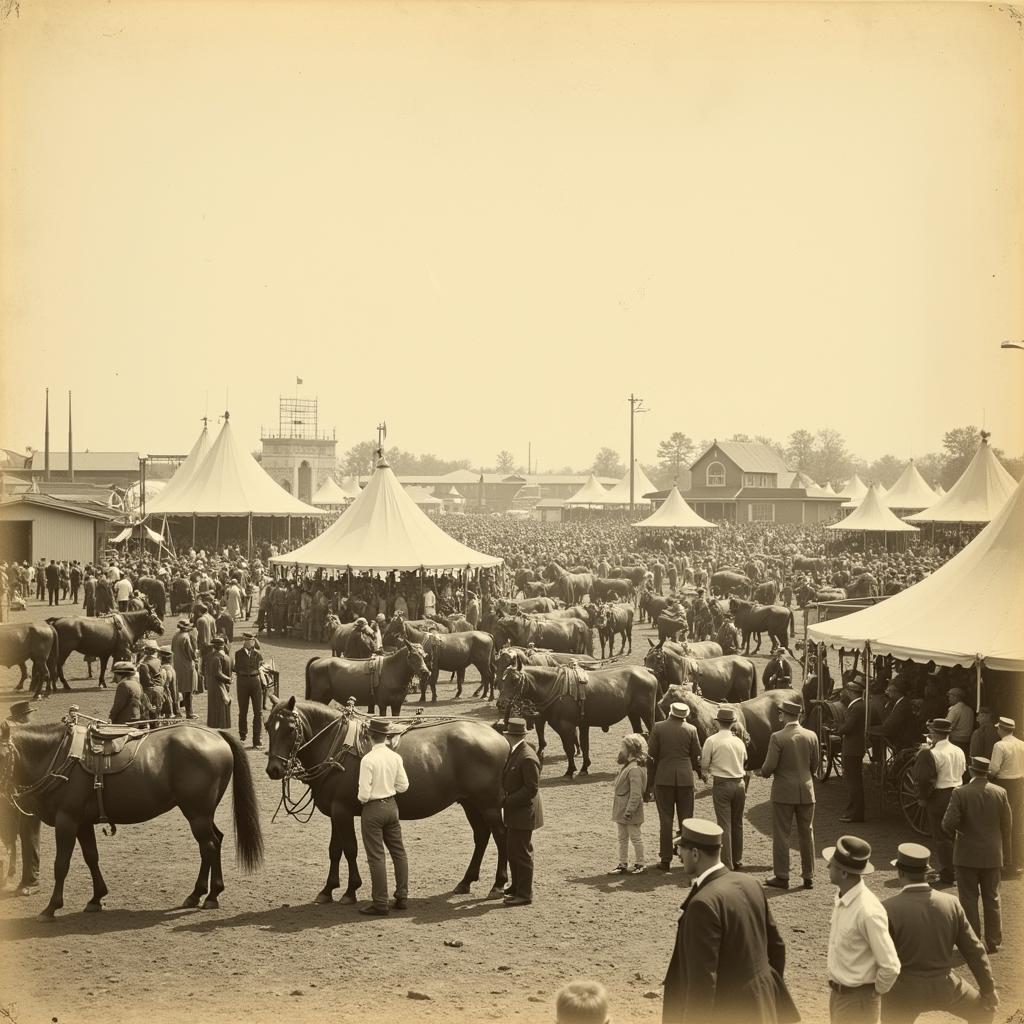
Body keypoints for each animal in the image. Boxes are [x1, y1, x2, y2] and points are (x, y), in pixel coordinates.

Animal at [1, 720, 264, 921]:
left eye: (2, 755)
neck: (61, 756)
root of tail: (215, 734)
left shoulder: (67, 820)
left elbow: (61, 864)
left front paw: (51, 907)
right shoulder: (82, 822)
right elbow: (91, 857)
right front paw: (96, 897)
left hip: (197, 813)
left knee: (209, 846)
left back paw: (209, 895)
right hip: (203, 814)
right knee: (214, 842)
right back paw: (200, 894)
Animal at [266, 696, 509, 905]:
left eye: (290, 729)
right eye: (268, 726)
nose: (273, 769)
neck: (337, 745)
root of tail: (497, 735)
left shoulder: (343, 810)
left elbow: (350, 849)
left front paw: (350, 890)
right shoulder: (335, 813)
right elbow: (334, 850)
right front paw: (327, 889)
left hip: (488, 805)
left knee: (500, 835)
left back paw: (498, 884)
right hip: (471, 803)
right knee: (481, 836)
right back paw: (466, 881)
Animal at [303, 638, 432, 712]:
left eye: (423, 656)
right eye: (412, 656)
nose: (425, 672)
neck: (392, 672)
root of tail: (317, 661)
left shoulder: (396, 705)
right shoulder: (382, 705)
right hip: (318, 697)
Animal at [499, 655, 659, 774]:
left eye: (515, 680)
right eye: (502, 679)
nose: (501, 703)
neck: (557, 688)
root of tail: (647, 670)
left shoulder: (566, 727)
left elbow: (569, 748)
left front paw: (571, 770)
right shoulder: (581, 725)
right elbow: (583, 745)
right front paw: (584, 767)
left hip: (647, 713)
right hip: (633, 714)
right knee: (639, 734)